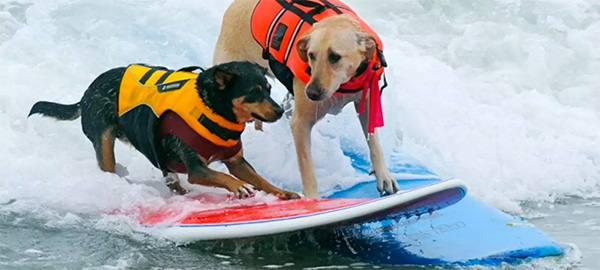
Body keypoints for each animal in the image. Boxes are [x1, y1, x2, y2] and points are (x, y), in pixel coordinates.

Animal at [28, 62, 300, 199]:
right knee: (108, 162)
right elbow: (223, 177)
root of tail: (86, 93)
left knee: (170, 177)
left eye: (268, 89)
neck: (211, 107)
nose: (279, 111)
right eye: (254, 92)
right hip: (103, 142)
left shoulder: (237, 162)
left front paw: (282, 192)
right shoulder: (197, 168)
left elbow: (260, 179)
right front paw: (239, 187)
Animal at [214, 0, 398, 198]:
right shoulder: (301, 123)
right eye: (311, 55)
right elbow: (307, 167)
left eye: (335, 57)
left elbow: (374, 143)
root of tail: (233, 6)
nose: (311, 93)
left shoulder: (367, 101)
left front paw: (384, 176)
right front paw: (312, 199)